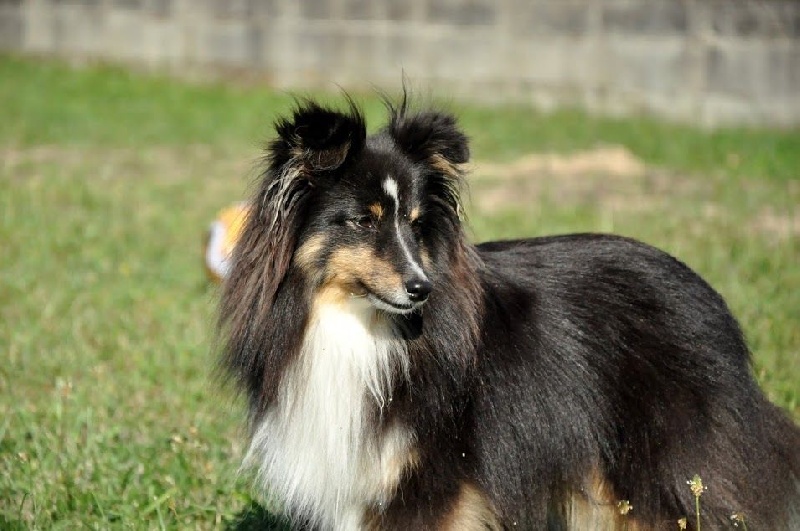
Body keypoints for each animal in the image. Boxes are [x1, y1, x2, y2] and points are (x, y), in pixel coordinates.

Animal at [218, 95, 800, 530]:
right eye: (363, 221)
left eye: (414, 222)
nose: (421, 289)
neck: (359, 323)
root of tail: (713, 303)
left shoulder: (428, 476)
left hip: (660, 463)